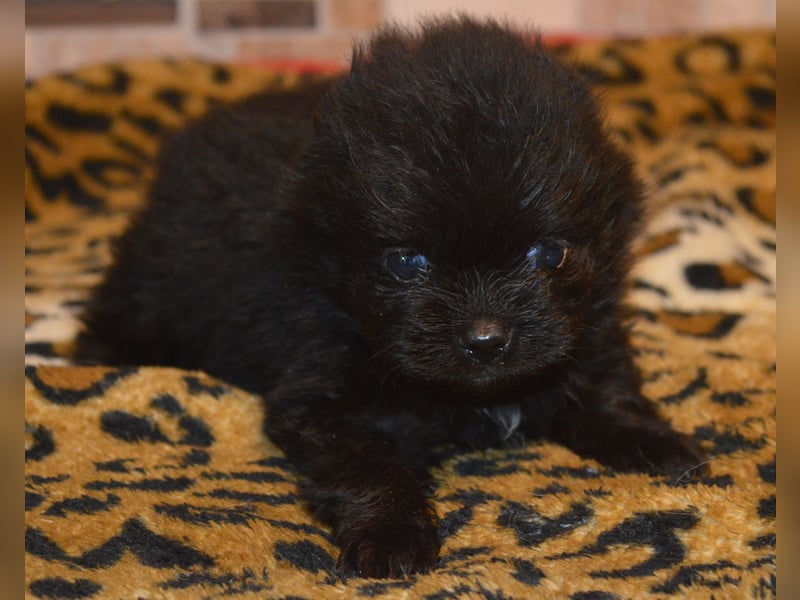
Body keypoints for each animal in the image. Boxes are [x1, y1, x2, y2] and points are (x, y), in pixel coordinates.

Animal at [79, 18, 708, 580]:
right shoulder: (324, 392)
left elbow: (607, 389)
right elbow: (371, 464)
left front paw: (655, 443)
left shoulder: (589, 330)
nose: (486, 340)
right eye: (405, 263)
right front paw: (391, 537)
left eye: (548, 253)